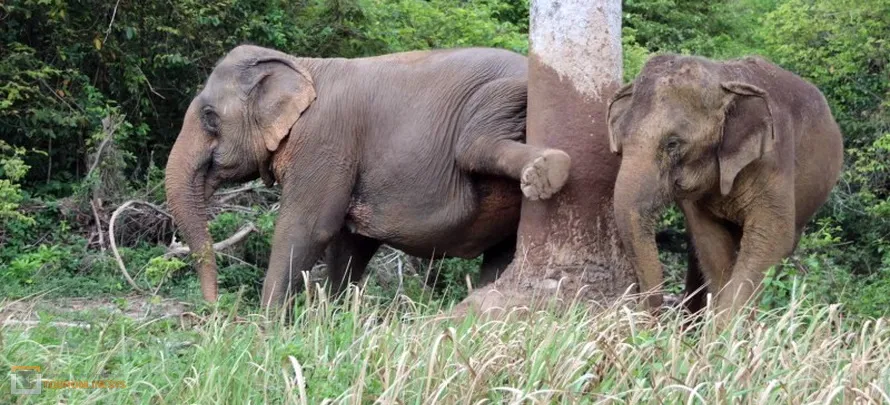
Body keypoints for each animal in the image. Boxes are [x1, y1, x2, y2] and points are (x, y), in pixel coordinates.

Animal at [165, 44, 572, 308]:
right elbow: (350, 242)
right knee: (502, 251)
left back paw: (548, 168)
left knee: (473, 144)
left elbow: (309, 228)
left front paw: (266, 331)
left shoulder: (325, 141)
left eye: (210, 118)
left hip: (499, 97)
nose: (215, 308)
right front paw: (333, 318)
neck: (303, 66)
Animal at [607, 54, 843, 321]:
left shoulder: (774, 160)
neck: (722, 76)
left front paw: (728, 330)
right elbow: (709, 240)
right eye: (621, 142)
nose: (645, 322)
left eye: (672, 144)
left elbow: (770, 237)